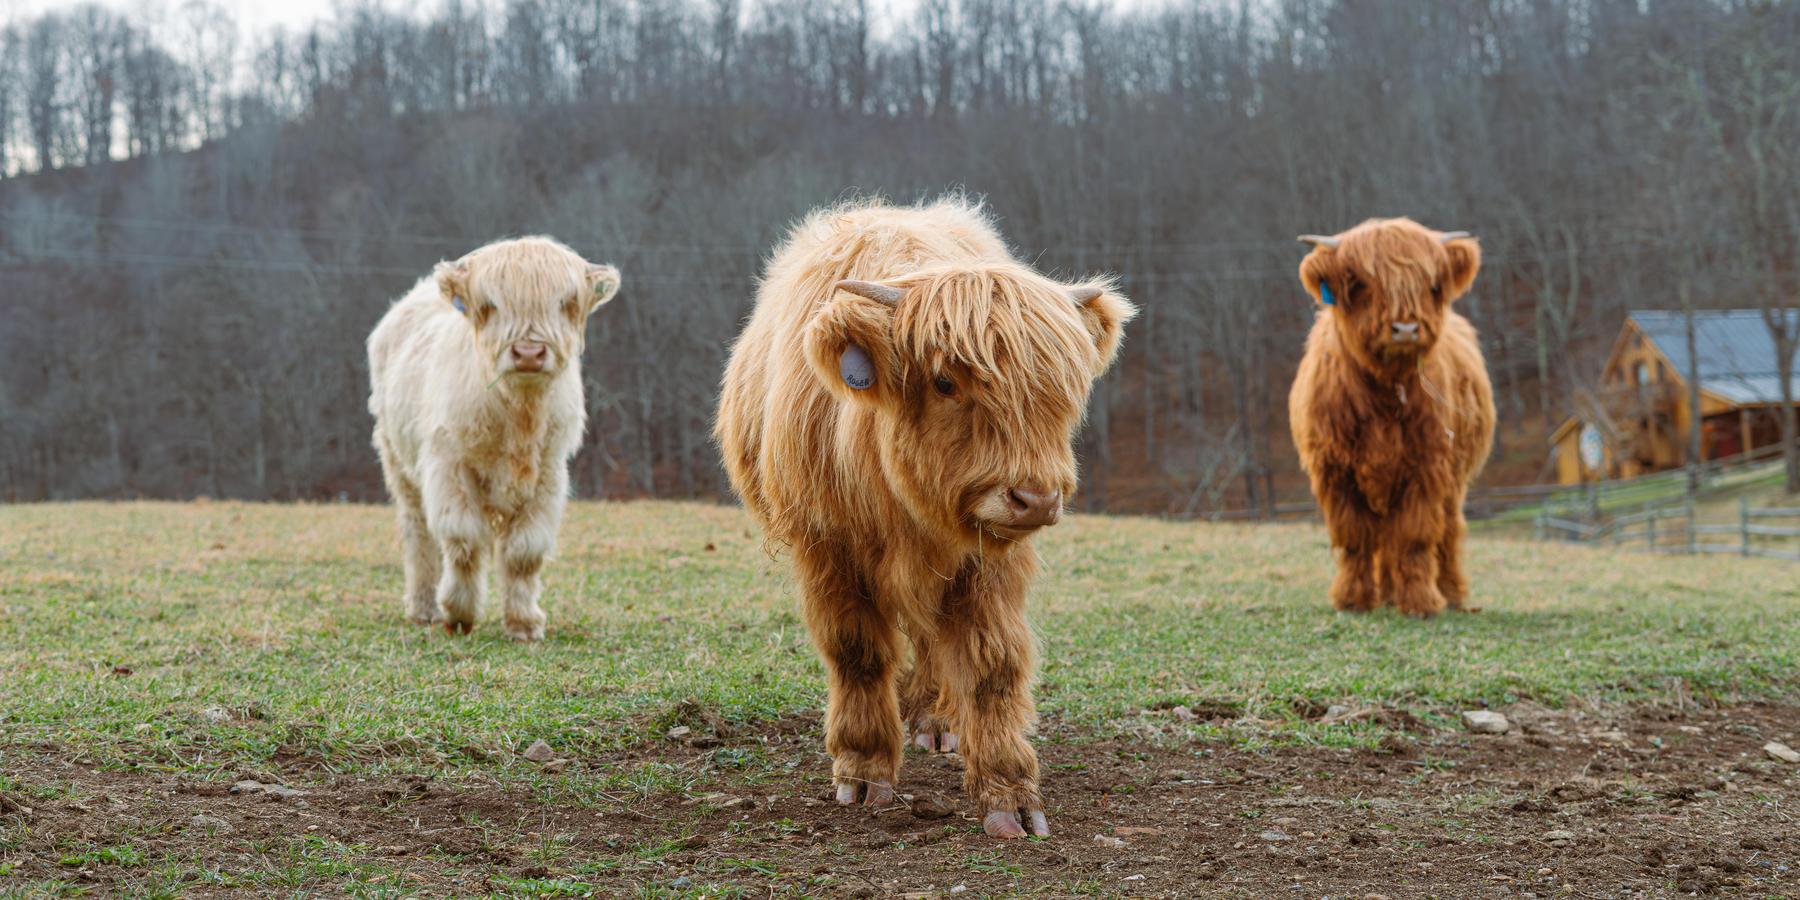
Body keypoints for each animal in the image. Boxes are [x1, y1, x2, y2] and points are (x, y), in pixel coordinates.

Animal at [367, 236, 620, 641]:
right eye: (490, 304)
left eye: (565, 303)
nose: (529, 353)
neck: (520, 416)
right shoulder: (449, 465)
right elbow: (464, 541)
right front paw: (458, 613)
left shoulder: (548, 474)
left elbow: (524, 552)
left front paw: (524, 623)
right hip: (397, 460)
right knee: (418, 532)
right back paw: (424, 607)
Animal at [714, 198, 1135, 838]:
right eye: (944, 381)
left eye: (1061, 390)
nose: (1035, 498)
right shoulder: (827, 549)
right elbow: (857, 651)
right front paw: (864, 772)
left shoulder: (986, 564)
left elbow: (993, 666)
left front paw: (1009, 795)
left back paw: (936, 724)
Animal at [1288, 218, 1496, 617]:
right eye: (1359, 282)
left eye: (1432, 285)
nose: (1406, 329)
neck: (1384, 392)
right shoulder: (1336, 471)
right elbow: (1355, 536)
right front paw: (1354, 599)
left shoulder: (1427, 468)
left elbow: (1415, 537)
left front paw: (1421, 602)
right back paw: (1385, 593)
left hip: (1454, 479)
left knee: (1447, 530)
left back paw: (1450, 593)